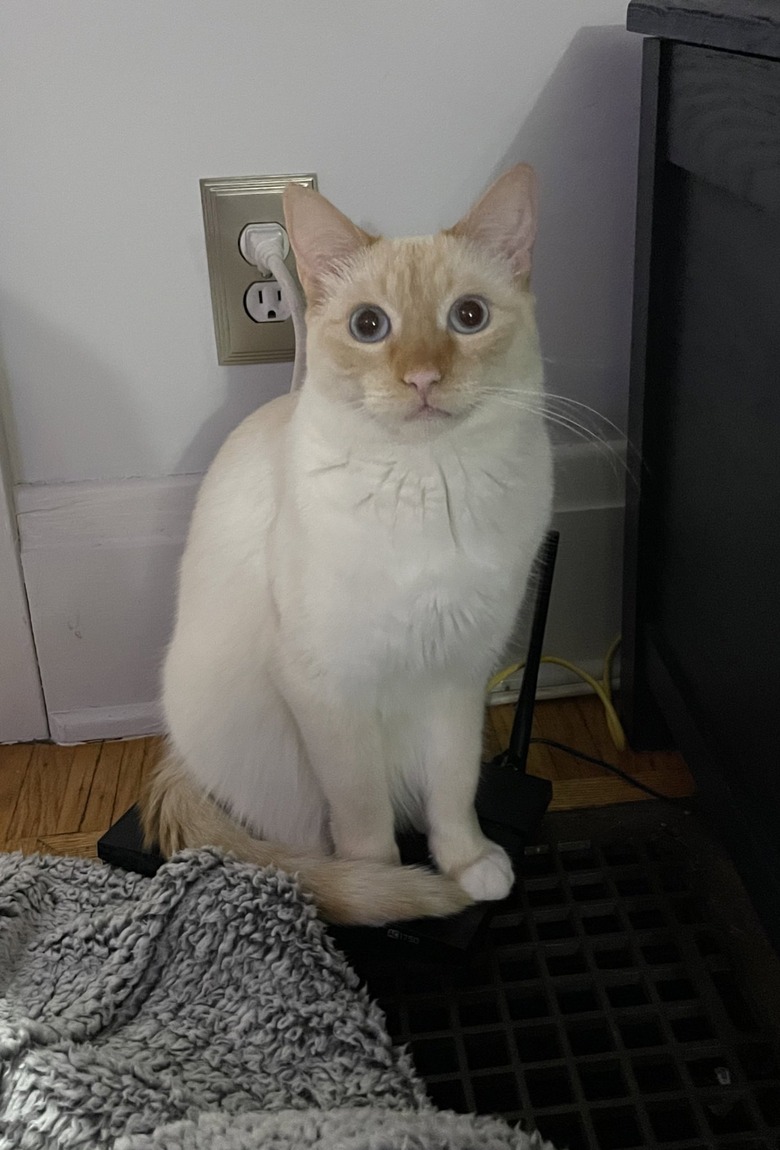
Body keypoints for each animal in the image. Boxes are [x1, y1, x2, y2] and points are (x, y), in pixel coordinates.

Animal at [142, 164, 556, 924]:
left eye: (469, 317)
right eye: (370, 326)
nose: (422, 378)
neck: (427, 487)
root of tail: (178, 758)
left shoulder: (457, 674)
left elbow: (454, 788)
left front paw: (467, 868)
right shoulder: (328, 692)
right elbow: (365, 821)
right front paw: (392, 895)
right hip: (282, 771)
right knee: (306, 846)